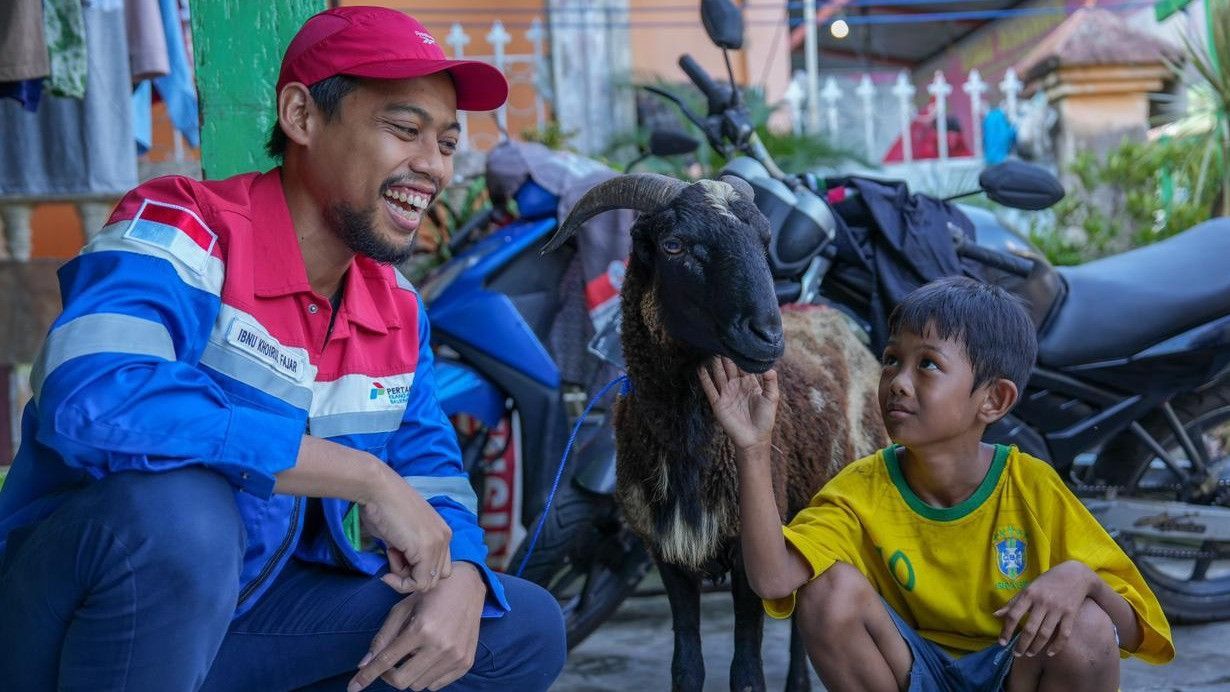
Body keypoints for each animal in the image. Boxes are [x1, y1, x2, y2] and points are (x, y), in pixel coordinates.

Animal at [546, 174, 885, 692]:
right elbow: (687, 666)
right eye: (674, 245)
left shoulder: (750, 553)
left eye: (765, 241)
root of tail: (834, 319)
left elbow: (746, 673)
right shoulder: (668, 554)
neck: (691, 447)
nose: (768, 335)